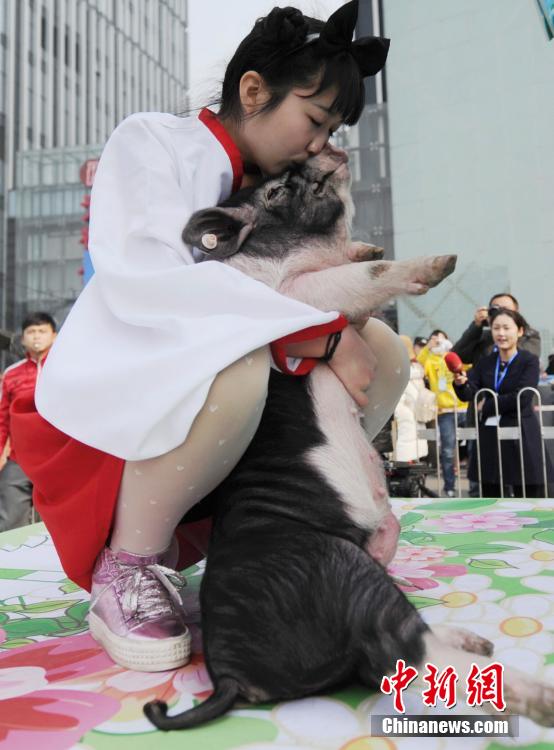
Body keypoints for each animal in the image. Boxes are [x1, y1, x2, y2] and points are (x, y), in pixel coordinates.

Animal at [143, 150, 552, 732]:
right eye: (274, 192)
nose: (322, 152)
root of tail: (230, 674)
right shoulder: (293, 299)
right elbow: (360, 275)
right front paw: (442, 262)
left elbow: (357, 265)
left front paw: (370, 246)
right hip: (343, 573)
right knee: (408, 648)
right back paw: (533, 691)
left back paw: (479, 645)